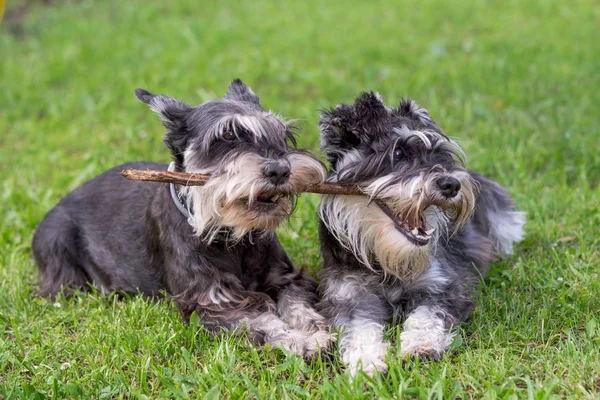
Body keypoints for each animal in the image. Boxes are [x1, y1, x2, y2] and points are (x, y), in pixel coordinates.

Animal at [31, 79, 332, 360]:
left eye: (283, 134)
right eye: (227, 135)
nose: (280, 170)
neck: (230, 236)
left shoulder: (287, 279)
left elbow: (298, 306)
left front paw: (315, 330)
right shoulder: (212, 303)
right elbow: (264, 323)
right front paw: (301, 341)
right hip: (58, 248)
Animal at [316, 90, 524, 376]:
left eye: (440, 155)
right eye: (398, 152)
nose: (452, 184)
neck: (386, 260)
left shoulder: (442, 287)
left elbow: (426, 317)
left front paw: (420, 348)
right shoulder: (348, 298)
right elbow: (359, 330)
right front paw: (366, 362)